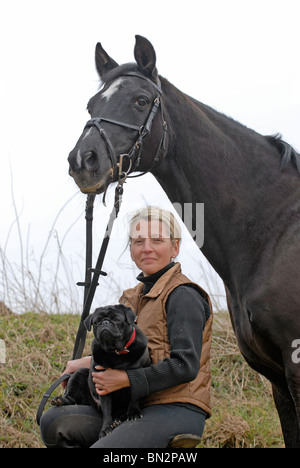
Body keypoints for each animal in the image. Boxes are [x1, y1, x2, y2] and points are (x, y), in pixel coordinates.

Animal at [51, 304, 151, 438]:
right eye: (96, 322)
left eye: (117, 319)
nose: (105, 322)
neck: (116, 353)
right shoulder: (103, 386)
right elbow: (107, 410)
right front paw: (105, 429)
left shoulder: (139, 375)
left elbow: (135, 397)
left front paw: (133, 412)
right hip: (79, 375)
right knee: (72, 399)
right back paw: (60, 400)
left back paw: (119, 418)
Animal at [68, 35, 300, 446]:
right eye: (92, 105)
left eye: (141, 100)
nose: (83, 161)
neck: (274, 230)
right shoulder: (278, 380)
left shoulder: (297, 370)